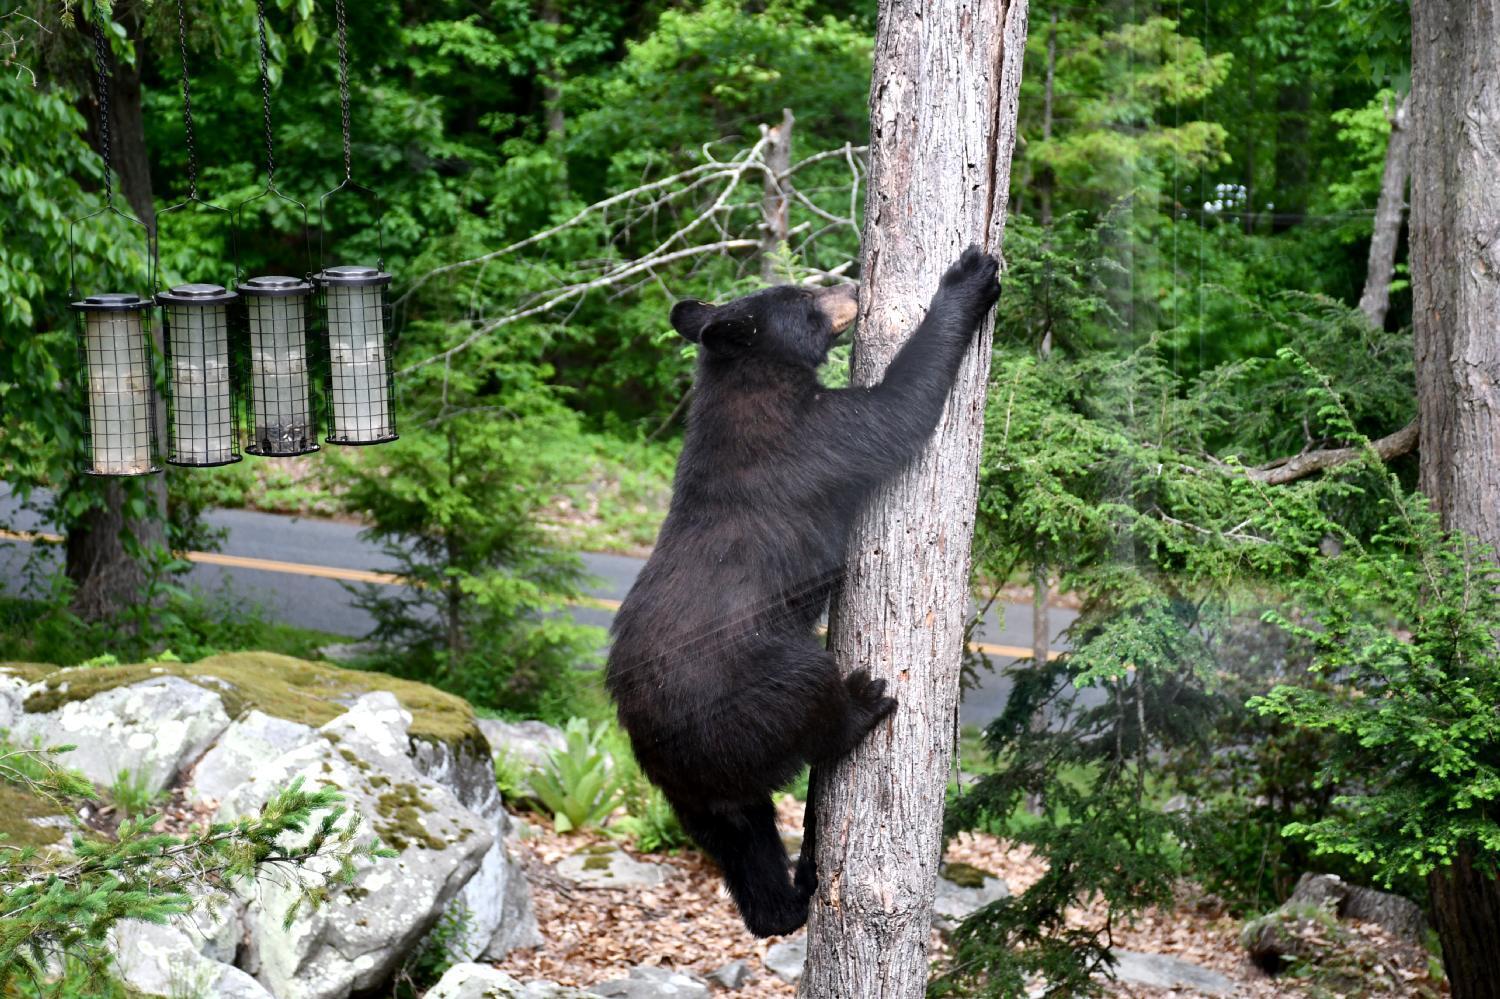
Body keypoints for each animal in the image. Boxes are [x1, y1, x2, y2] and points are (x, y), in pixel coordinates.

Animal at [606, 245, 1001, 937]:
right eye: (805, 299)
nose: (854, 288)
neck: (746, 383)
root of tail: (662, 748)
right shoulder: (811, 436)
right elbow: (895, 412)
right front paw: (969, 279)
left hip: (705, 797)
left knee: (746, 846)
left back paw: (794, 891)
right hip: (754, 695)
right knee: (810, 693)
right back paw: (862, 706)